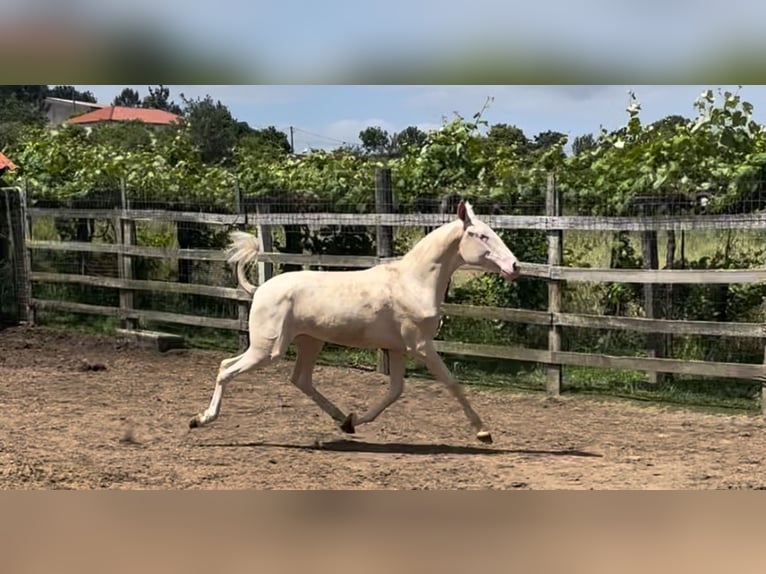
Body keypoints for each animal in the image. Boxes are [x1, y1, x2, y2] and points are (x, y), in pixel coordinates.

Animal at [188, 201, 520, 446]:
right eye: (481, 236)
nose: (515, 266)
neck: (414, 282)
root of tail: (260, 289)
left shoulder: (397, 348)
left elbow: (395, 391)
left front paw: (354, 421)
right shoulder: (420, 344)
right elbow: (451, 383)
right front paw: (483, 432)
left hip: (309, 341)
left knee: (299, 379)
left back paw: (341, 419)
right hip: (268, 348)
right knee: (227, 368)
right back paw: (200, 419)